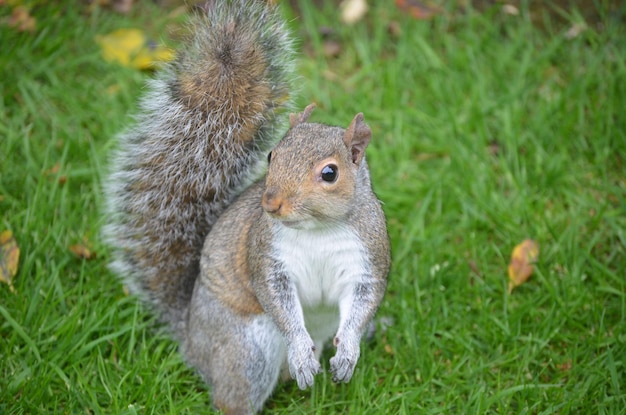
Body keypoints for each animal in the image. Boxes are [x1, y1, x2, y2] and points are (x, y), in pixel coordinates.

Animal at [102, 1, 390, 414]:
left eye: (330, 173)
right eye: (272, 155)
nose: (270, 202)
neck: (317, 229)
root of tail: (192, 339)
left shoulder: (368, 257)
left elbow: (364, 302)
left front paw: (349, 351)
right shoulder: (266, 258)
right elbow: (278, 301)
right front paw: (300, 352)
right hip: (247, 348)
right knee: (234, 395)